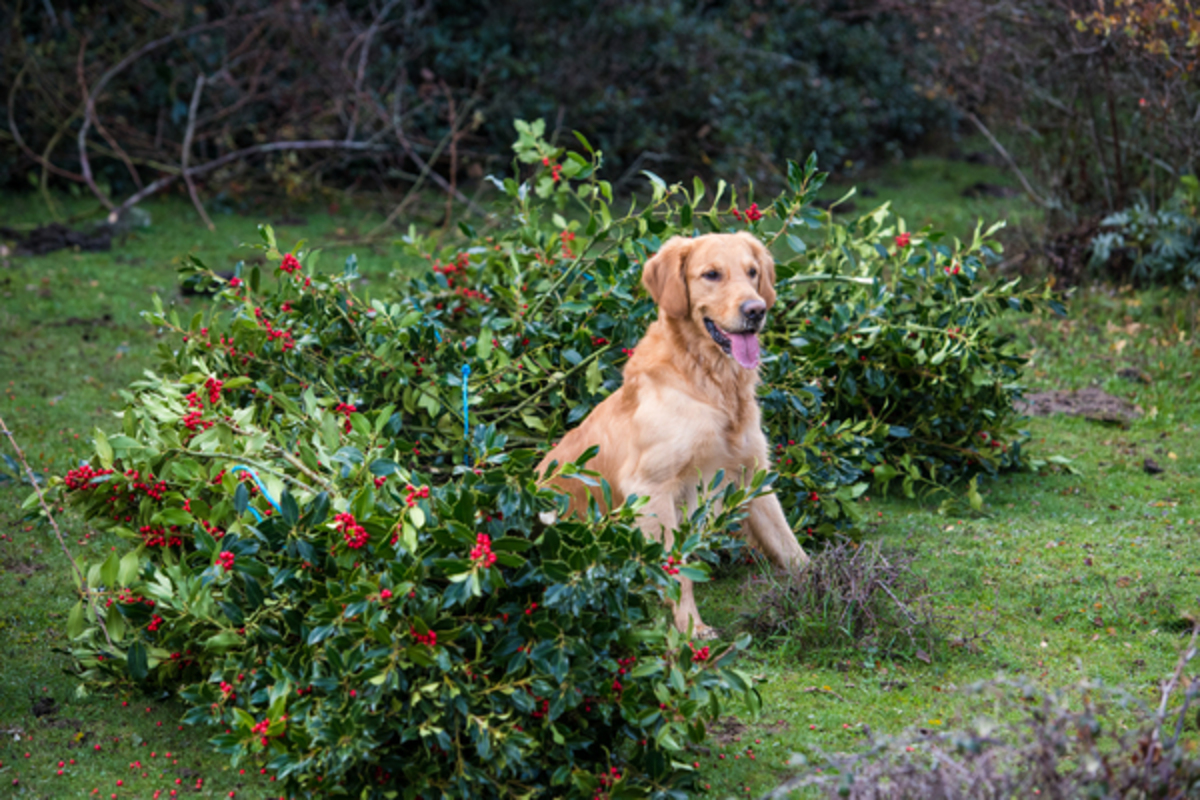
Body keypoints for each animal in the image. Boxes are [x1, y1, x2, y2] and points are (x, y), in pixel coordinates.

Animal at [537, 230, 811, 638]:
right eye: (711, 274)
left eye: (752, 271)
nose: (756, 310)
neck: (711, 382)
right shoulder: (652, 487)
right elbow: (675, 571)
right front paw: (691, 629)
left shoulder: (753, 476)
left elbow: (791, 547)